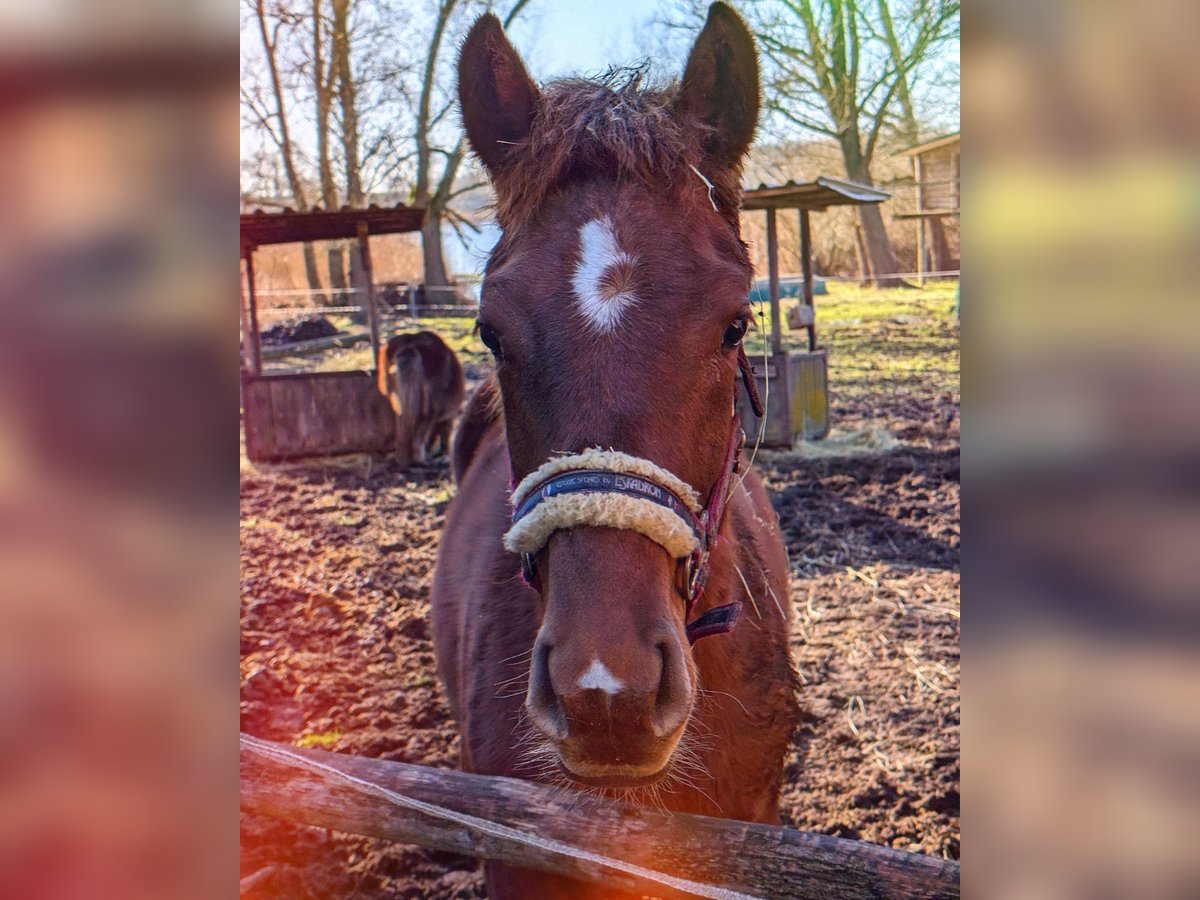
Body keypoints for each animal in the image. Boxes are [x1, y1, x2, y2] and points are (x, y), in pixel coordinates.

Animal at [374, 333, 463, 472]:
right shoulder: (447, 415)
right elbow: (443, 435)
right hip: (430, 408)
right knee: (419, 437)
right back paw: (419, 462)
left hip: (395, 398)